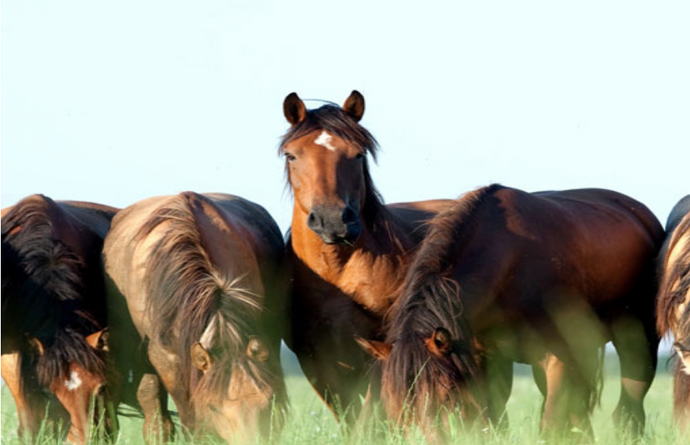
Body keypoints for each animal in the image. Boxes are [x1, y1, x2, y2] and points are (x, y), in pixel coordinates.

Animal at [276, 91, 454, 420]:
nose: (333, 219)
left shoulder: (379, 354)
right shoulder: (317, 365)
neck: (338, 273)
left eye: (358, 154)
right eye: (292, 156)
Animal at [354, 182, 660, 438]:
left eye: (446, 395)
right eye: (395, 404)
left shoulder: (557, 357)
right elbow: (494, 421)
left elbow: (551, 424)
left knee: (629, 409)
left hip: (637, 344)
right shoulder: (485, 359)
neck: (509, 264)